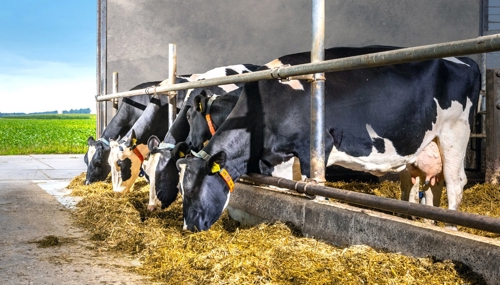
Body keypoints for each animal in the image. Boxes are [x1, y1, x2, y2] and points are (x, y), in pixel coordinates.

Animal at [176, 45, 480, 231]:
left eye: (190, 190)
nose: (188, 227)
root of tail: (465, 59)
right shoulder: (277, 156)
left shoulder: (311, 148)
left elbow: (304, 187)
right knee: (429, 183)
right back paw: (425, 220)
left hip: (455, 131)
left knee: (455, 181)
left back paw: (451, 225)